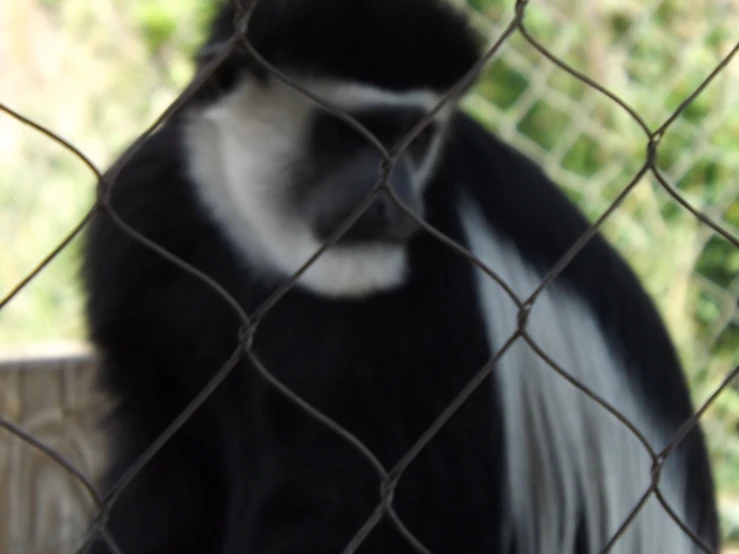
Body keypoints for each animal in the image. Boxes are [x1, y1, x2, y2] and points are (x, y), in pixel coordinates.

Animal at [82, 1, 716, 552]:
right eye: (345, 134)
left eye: (417, 140)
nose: (396, 204)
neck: (270, 248)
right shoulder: (143, 217)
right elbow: (164, 456)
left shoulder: (444, 309)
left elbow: (376, 498)